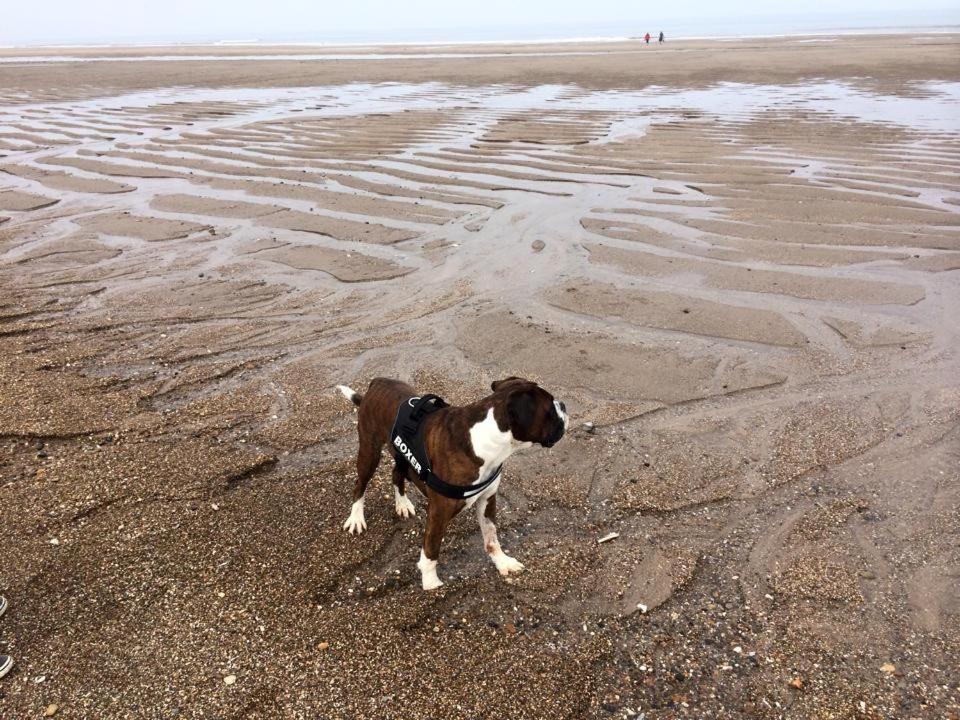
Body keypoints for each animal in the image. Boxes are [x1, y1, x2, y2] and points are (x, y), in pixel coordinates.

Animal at [336, 376, 568, 592]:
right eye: (550, 409)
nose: (564, 405)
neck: (484, 439)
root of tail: (377, 383)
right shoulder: (439, 512)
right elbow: (431, 550)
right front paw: (431, 584)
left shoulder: (487, 500)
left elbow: (491, 537)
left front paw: (502, 561)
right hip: (369, 451)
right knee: (360, 484)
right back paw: (356, 517)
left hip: (399, 454)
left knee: (396, 474)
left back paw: (402, 503)